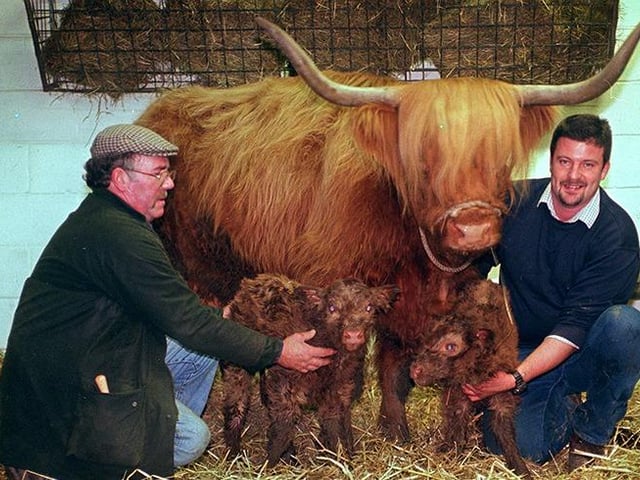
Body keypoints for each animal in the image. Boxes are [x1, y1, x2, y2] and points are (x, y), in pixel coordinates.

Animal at [135, 17, 640, 443]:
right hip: (197, 266)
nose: (473, 229)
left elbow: (396, 365)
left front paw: (395, 425)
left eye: (499, 158)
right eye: (425, 162)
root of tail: (161, 108)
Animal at [221, 274, 399, 466]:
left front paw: (343, 458)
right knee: (236, 404)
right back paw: (234, 454)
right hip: (237, 362)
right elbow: (283, 426)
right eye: (331, 307)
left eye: (369, 307)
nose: (353, 335)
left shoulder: (341, 387)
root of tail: (253, 282)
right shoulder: (284, 381)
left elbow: (336, 423)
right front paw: (269, 464)